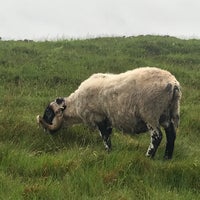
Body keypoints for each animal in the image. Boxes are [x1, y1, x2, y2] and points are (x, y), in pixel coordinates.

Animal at [36, 67, 182, 159]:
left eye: (48, 113)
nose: (45, 131)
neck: (75, 105)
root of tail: (173, 84)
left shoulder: (98, 117)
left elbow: (105, 137)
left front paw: (107, 152)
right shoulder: (108, 120)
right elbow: (108, 136)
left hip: (150, 113)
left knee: (157, 136)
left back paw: (149, 157)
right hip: (169, 113)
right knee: (171, 135)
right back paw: (167, 158)